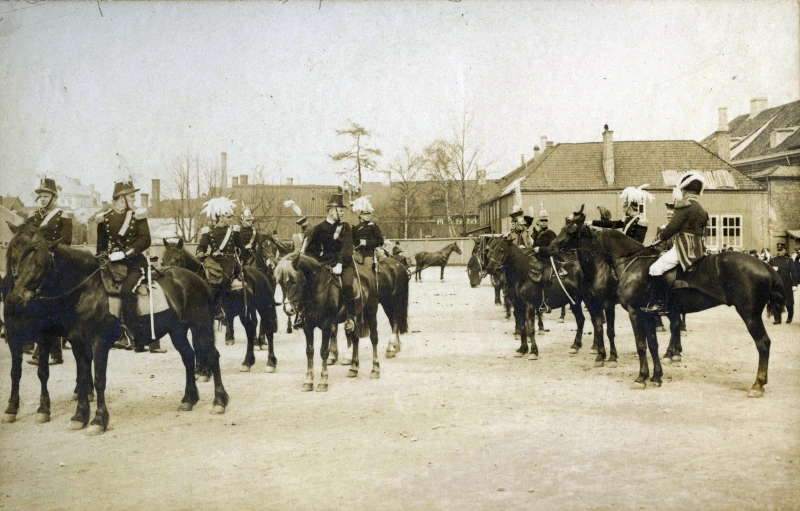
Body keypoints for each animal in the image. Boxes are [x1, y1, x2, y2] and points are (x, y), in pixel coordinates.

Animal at [4, 222, 228, 434]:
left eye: (39, 263)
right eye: (17, 257)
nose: (15, 297)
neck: (87, 290)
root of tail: (197, 279)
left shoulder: (99, 342)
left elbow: (98, 379)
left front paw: (98, 420)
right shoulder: (78, 343)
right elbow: (83, 378)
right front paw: (79, 416)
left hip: (201, 326)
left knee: (212, 355)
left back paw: (219, 401)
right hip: (177, 331)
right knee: (188, 357)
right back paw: (189, 399)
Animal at [159, 240, 278, 376]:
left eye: (176, 260)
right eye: (162, 261)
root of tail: (260, 274)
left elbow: (203, 342)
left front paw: (205, 371)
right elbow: (196, 343)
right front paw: (199, 369)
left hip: (264, 306)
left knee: (268, 330)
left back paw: (271, 363)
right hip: (244, 311)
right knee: (250, 329)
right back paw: (247, 362)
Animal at [276, 253, 382, 392]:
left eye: (294, 280)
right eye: (280, 282)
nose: (288, 309)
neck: (316, 289)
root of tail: (368, 273)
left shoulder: (326, 326)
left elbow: (324, 352)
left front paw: (323, 381)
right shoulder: (307, 326)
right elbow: (309, 351)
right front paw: (308, 381)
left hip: (371, 313)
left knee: (374, 338)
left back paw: (375, 369)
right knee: (355, 339)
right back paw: (353, 368)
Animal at [576, 227, 788, 396]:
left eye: (575, 233)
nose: (580, 271)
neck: (633, 262)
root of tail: (764, 264)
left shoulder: (635, 313)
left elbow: (641, 346)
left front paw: (641, 378)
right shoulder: (648, 315)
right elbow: (653, 345)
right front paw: (656, 377)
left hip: (750, 315)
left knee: (763, 344)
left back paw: (757, 385)